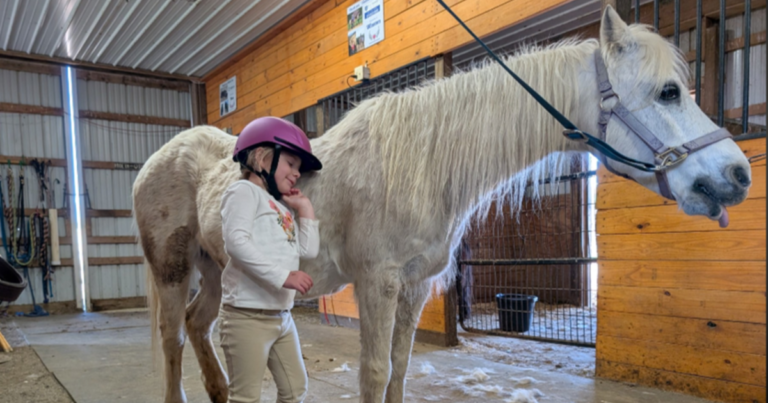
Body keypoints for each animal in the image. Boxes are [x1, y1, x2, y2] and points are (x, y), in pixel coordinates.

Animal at [132, 7, 751, 403]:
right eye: (668, 92)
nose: (737, 175)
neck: (422, 165)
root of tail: (158, 159)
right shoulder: (377, 284)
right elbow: (374, 372)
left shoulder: (413, 286)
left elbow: (400, 369)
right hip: (173, 270)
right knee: (171, 340)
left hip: (217, 271)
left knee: (199, 327)